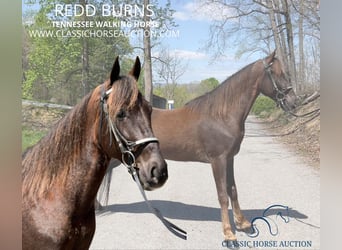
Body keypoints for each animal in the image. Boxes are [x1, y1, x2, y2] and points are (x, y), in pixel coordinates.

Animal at [97, 51, 296, 242]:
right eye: (278, 74)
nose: (294, 101)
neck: (221, 115)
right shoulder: (217, 161)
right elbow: (222, 196)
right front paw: (229, 234)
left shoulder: (229, 159)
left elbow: (233, 190)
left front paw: (243, 224)